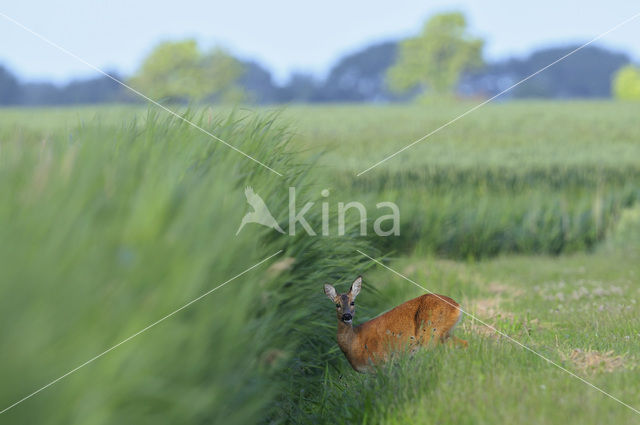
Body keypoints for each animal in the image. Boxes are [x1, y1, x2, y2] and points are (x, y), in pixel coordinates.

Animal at [324, 274, 464, 372]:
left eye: (352, 302)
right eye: (337, 305)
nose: (347, 316)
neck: (355, 343)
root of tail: (457, 306)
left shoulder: (382, 361)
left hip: (431, 334)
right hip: (444, 333)